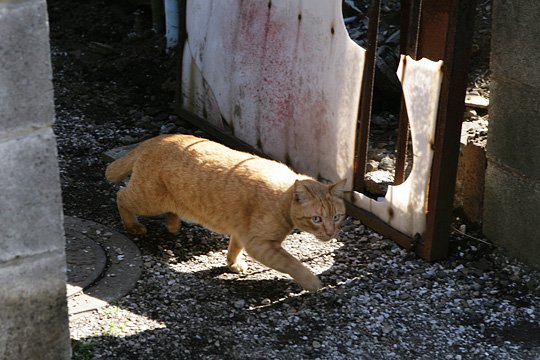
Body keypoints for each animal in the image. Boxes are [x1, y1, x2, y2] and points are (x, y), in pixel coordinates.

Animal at [106, 134, 346, 292]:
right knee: (121, 195)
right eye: (317, 219)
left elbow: (234, 248)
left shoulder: (242, 232)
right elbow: (293, 263)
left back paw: (173, 225)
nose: (331, 233)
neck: (284, 198)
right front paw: (312, 283)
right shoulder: (260, 244)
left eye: (336, 217)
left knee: (168, 209)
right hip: (148, 199)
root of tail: (156, 139)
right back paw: (133, 226)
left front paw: (233, 264)